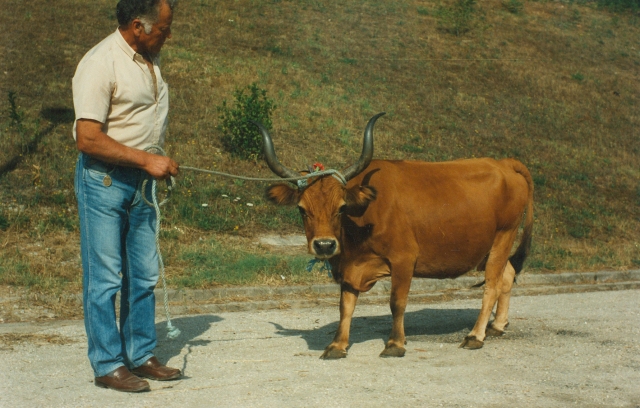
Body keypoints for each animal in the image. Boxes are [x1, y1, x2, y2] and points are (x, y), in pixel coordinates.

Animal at [252, 113, 532, 358]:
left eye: (341, 207)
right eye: (301, 209)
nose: (324, 245)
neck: (362, 220)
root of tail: (503, 163)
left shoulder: (404, 259)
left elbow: (397, 302)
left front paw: (395, 343)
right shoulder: (350, 267)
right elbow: (346, 305)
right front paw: (337, 345)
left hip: (503, 236)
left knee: (492, 284)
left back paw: (476, 335)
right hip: (487, 246)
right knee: (507, 274)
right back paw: (497, 326)